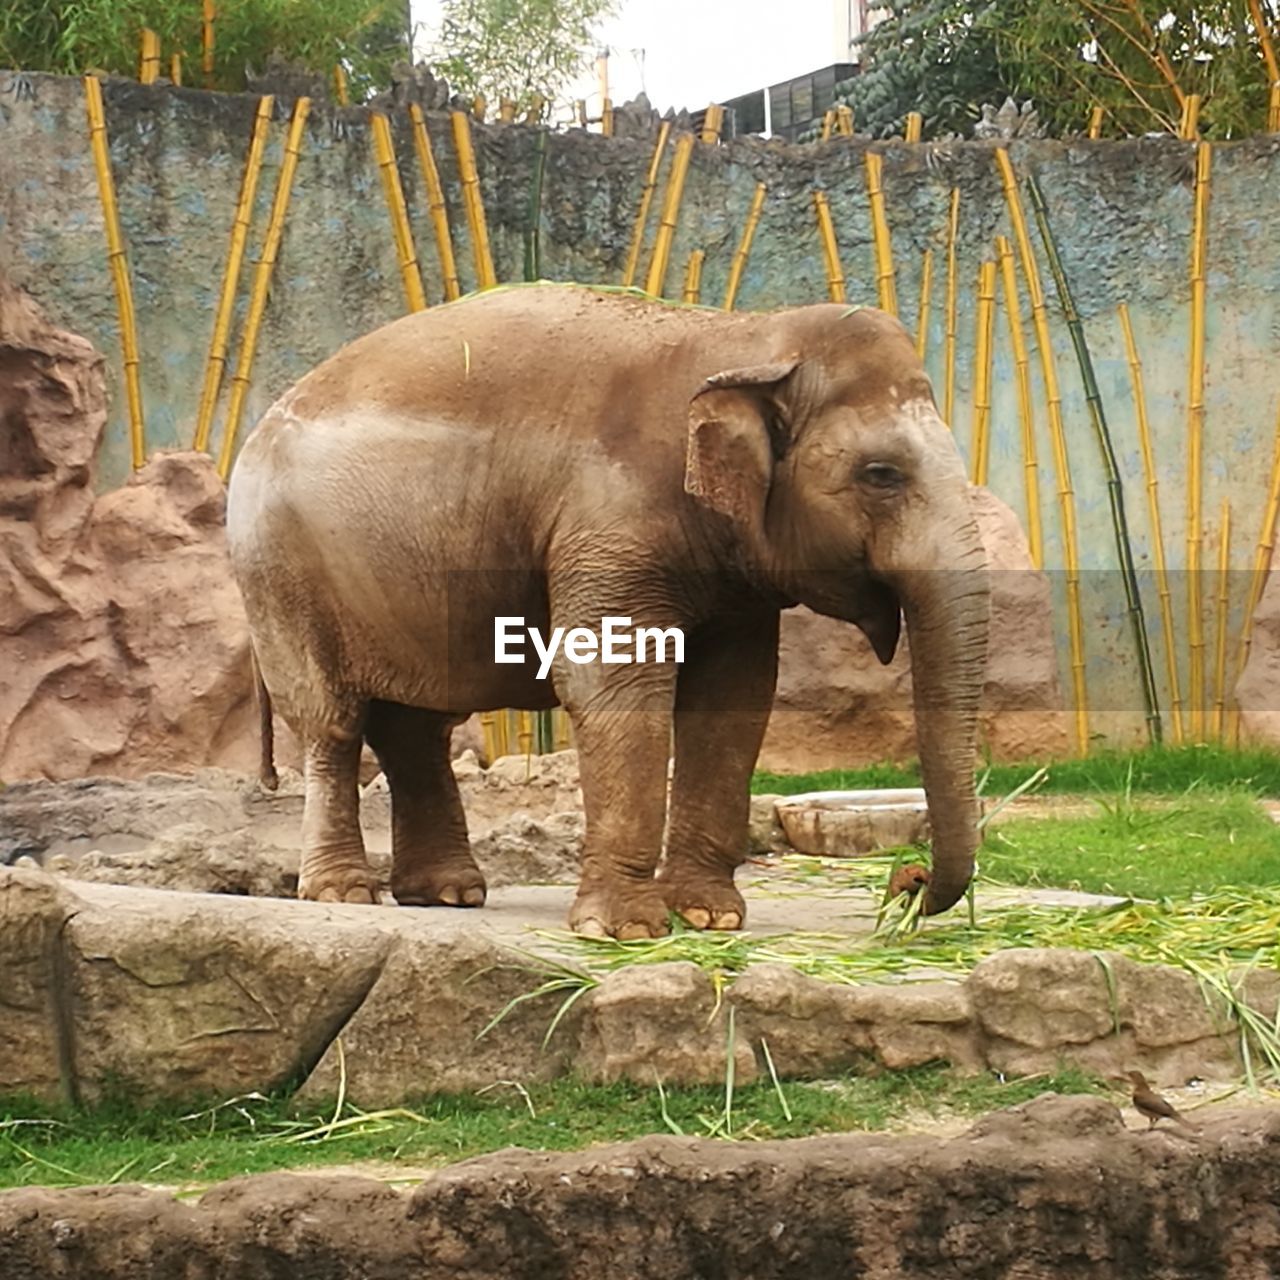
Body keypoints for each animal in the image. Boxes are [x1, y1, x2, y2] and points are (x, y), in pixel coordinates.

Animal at [227, 282, 988, 942]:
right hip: (281, 568)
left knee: (414, 727)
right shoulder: (610, 518)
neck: (746, 336)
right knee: (333, 722)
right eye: (881, 475)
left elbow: (734, 699)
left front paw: (710, 919)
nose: (908, 883)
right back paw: (343, 892)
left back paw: (447, 894)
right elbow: (611, 684)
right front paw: (626, 930)